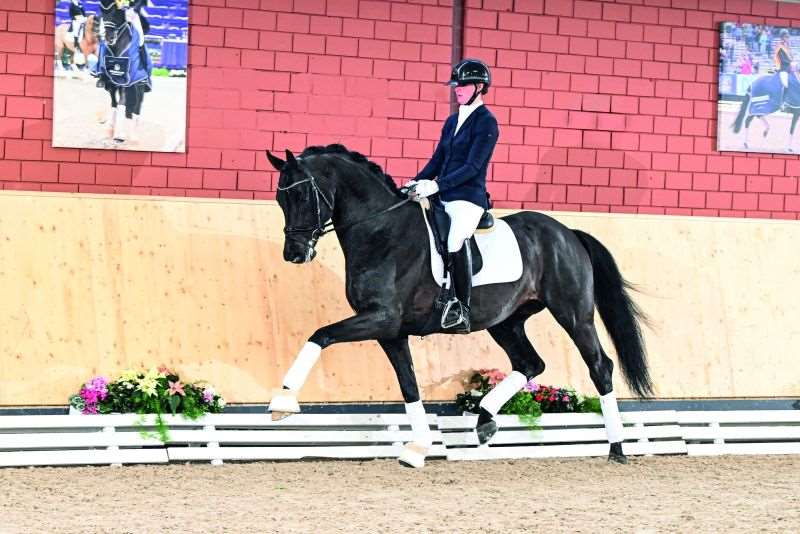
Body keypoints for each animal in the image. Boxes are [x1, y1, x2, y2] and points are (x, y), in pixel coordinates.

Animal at [95, 0, 152, 143]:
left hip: (140, 86)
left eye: (116, 12)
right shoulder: (111, 83)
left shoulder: (127, 82)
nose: (109, 38)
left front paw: (120, 134)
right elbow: (114, 104)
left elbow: (122, 104)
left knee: (137, 107)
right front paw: (110, 130)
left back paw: (133, 136)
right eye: (102, 12)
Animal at [264, 144, 653, 468]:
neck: (381, 231)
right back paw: (484, 421)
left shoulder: (381, 318)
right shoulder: (390, 331)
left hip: (573, 314)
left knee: (600, 366)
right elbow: (409, 386)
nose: (294, 254)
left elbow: (320, 335)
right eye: (280, 199)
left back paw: (617, 448)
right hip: (506, 321)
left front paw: (283, 401)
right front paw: (418, 448)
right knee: (530, 363)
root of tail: (567, 233)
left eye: (301, 194)